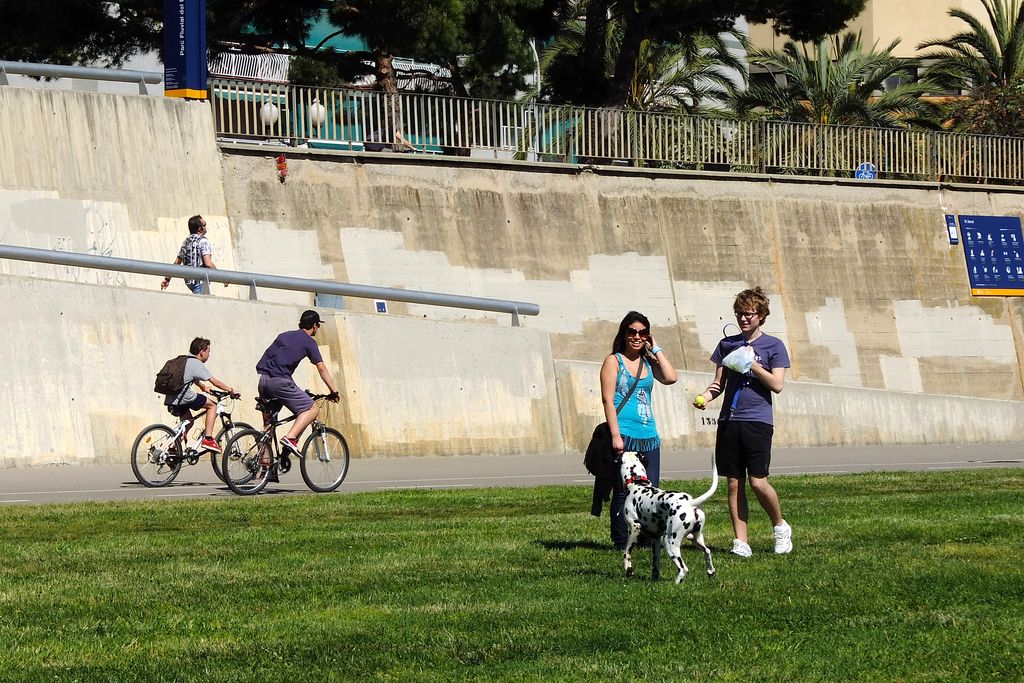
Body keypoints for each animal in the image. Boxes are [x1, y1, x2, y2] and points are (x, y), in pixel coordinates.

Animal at [618, 450, 716, 585]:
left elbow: (626, 553)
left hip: (669, 542)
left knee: (683, 568)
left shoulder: (634, 528)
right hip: (695, 539)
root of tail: (690, 503)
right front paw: (654, 577)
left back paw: (676, 583)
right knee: (707, 551)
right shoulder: (656, 539)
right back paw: (710, 571)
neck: (637, 484)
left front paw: (629, 570)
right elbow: (655, 562)